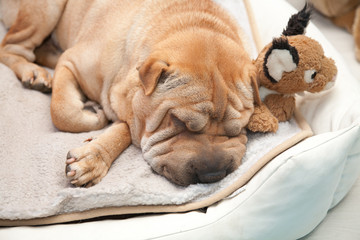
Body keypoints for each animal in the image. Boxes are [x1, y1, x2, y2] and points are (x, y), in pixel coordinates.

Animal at [0, 0, 258, 187]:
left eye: (239, 128)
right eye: (178, 121)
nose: (212, 174)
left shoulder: (132, 111)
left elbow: (123, 128)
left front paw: (93, 158)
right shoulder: (71, 62)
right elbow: (63, 112)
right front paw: (94, 117)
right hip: (43, 12)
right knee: (11, 47)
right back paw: (34, 73)